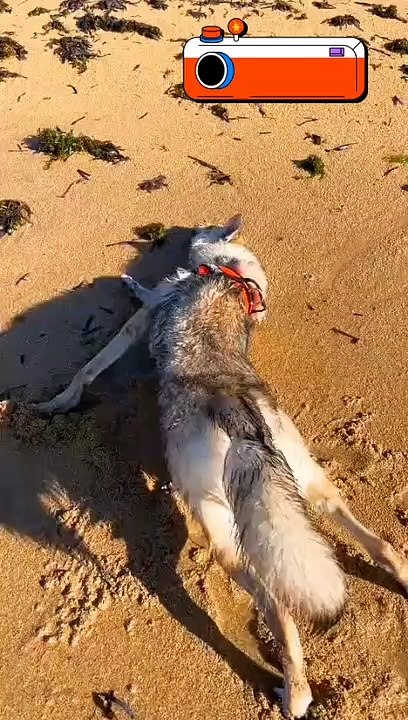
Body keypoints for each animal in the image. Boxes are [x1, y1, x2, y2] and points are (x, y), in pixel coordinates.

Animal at [35, 216, 407, 717]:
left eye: (205, 228)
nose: (192, 227)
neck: (235, 277)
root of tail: (240, 415)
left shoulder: (142, 319)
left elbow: (90, 367)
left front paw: (58, 401)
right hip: (308, 481)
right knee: (374, 542)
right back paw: (399, 572)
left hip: (216, 524)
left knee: (276, 605)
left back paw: (295, 690)